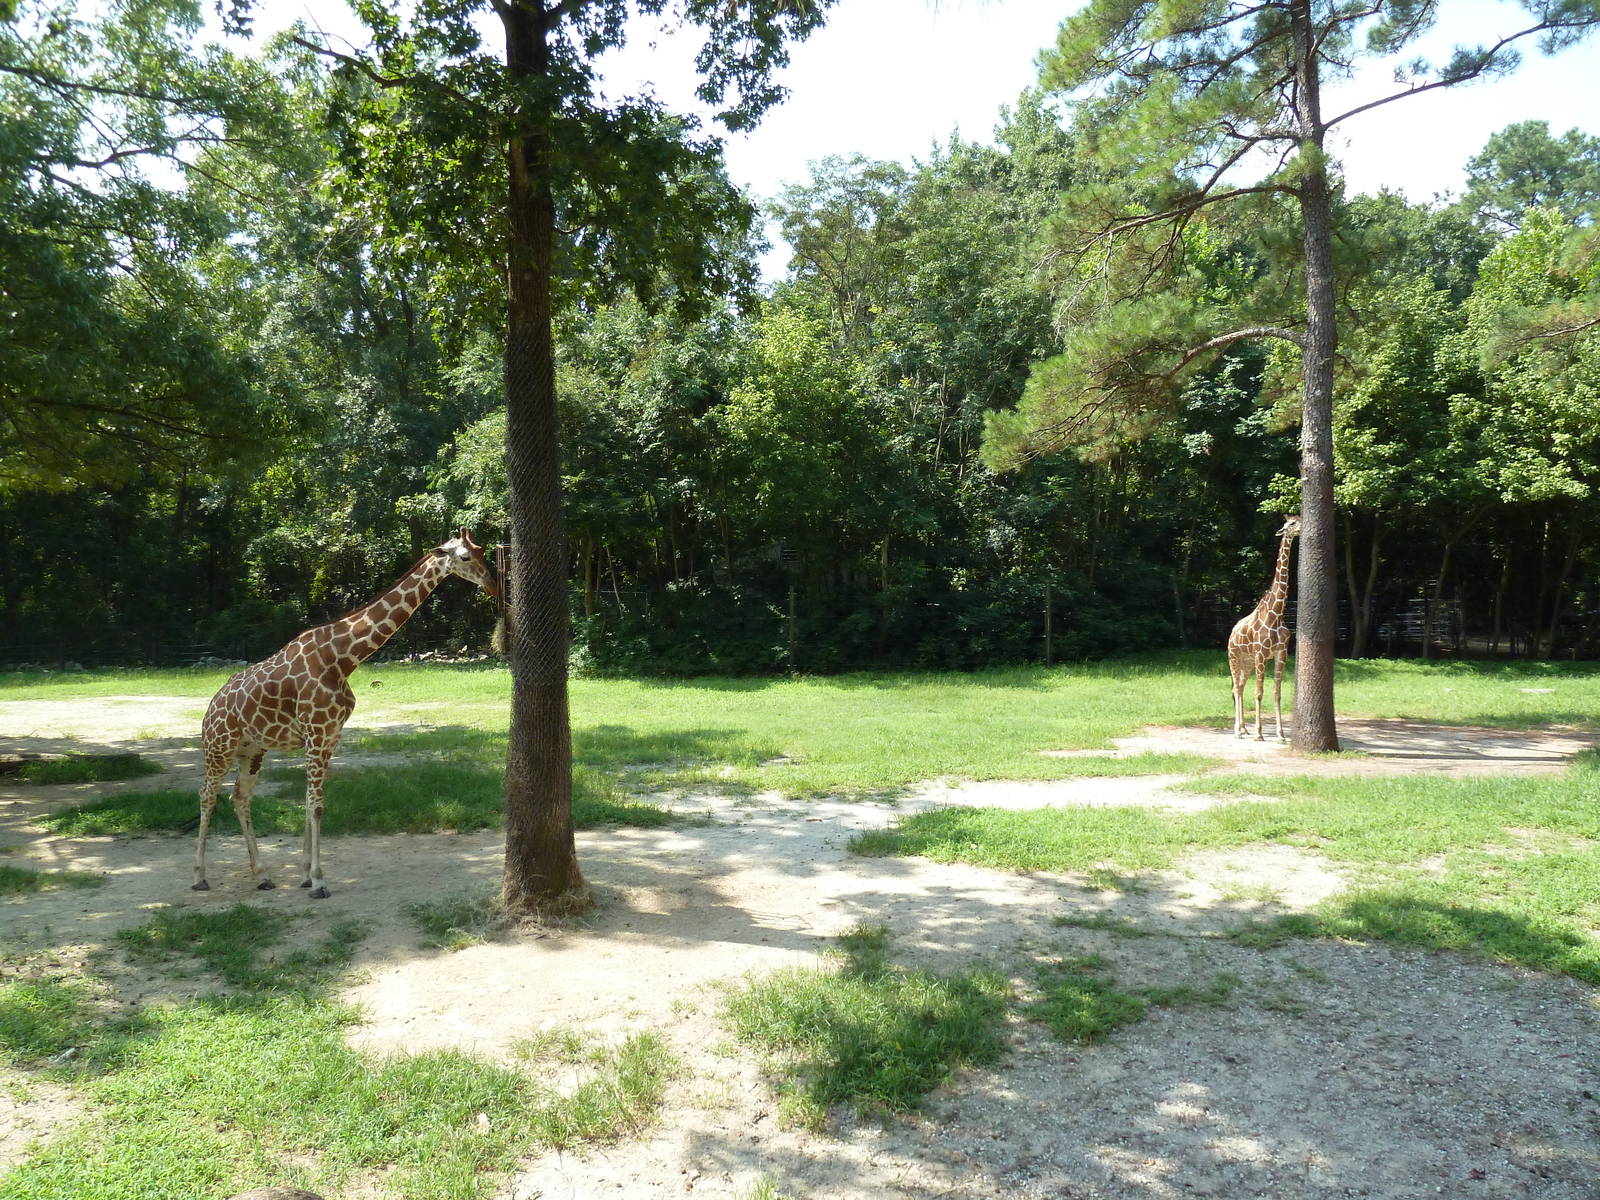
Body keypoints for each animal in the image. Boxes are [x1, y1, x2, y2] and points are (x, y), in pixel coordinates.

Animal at [193, 529, 499, 898]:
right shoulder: (315, 732)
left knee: (239, 797)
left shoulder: (330, 736)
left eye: (482, 550)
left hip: (252, 750)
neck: (341, 658)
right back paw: (200, 876)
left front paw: (305, 875)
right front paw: (319, 881)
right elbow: (316, 803)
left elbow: (310, 801)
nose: (493, 585)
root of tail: (210, 708)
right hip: (219, 747)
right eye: (465, 557)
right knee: (207, 794)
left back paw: (262, 875)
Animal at [1227, 514, 1301, 742]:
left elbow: (1277, 693)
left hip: (1248, 662)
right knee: (1236, 688)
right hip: (1234, 658)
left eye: (1298, 518)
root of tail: (1231, 633)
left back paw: (1243, 728)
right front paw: (1260, 733)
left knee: (1240, 686)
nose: (1302, 528)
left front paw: (1281, 735)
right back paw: (1238, 731)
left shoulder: (1280, 654)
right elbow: (1259, 693)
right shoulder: (1261, 654)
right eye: (1291, 523)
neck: (1276, 614)